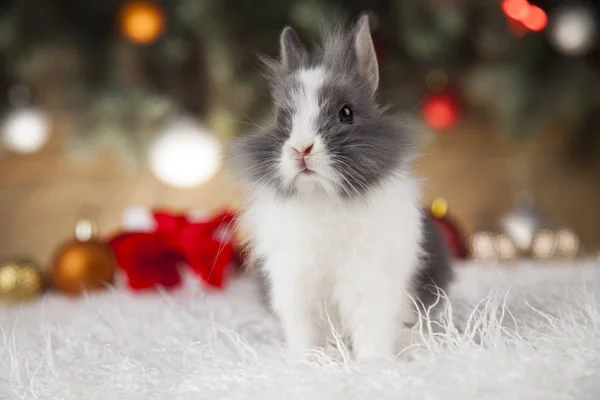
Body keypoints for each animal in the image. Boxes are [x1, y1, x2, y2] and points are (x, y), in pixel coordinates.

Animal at [227, 14, 452, 362]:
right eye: (282, 119)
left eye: (346, 113)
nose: (301, 149)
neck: (322, 197)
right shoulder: (296, 285)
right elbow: (306, 333)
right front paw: (307, 362)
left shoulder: (372, 283)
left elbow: (372, 330)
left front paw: (375, 364)